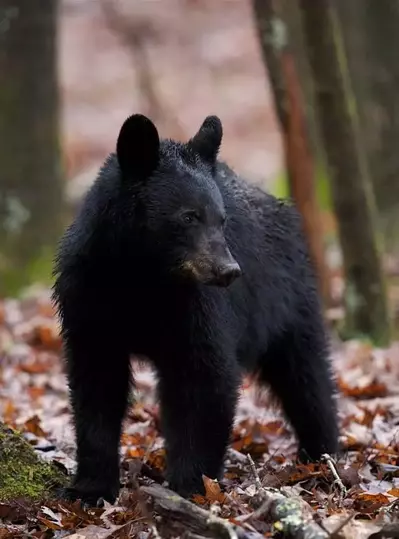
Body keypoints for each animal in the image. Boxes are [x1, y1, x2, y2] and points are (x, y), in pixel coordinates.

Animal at [53, 113, 340, 506]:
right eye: (189, 217)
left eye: (221, 219)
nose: (229, 270)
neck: (141, 277)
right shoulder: (87, 297)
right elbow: (96, 383)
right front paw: (91, 488)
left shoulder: (198, 307)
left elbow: (206, 377)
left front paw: (191, 485)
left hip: (290, 303)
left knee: (307, 378)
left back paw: (323, 454)